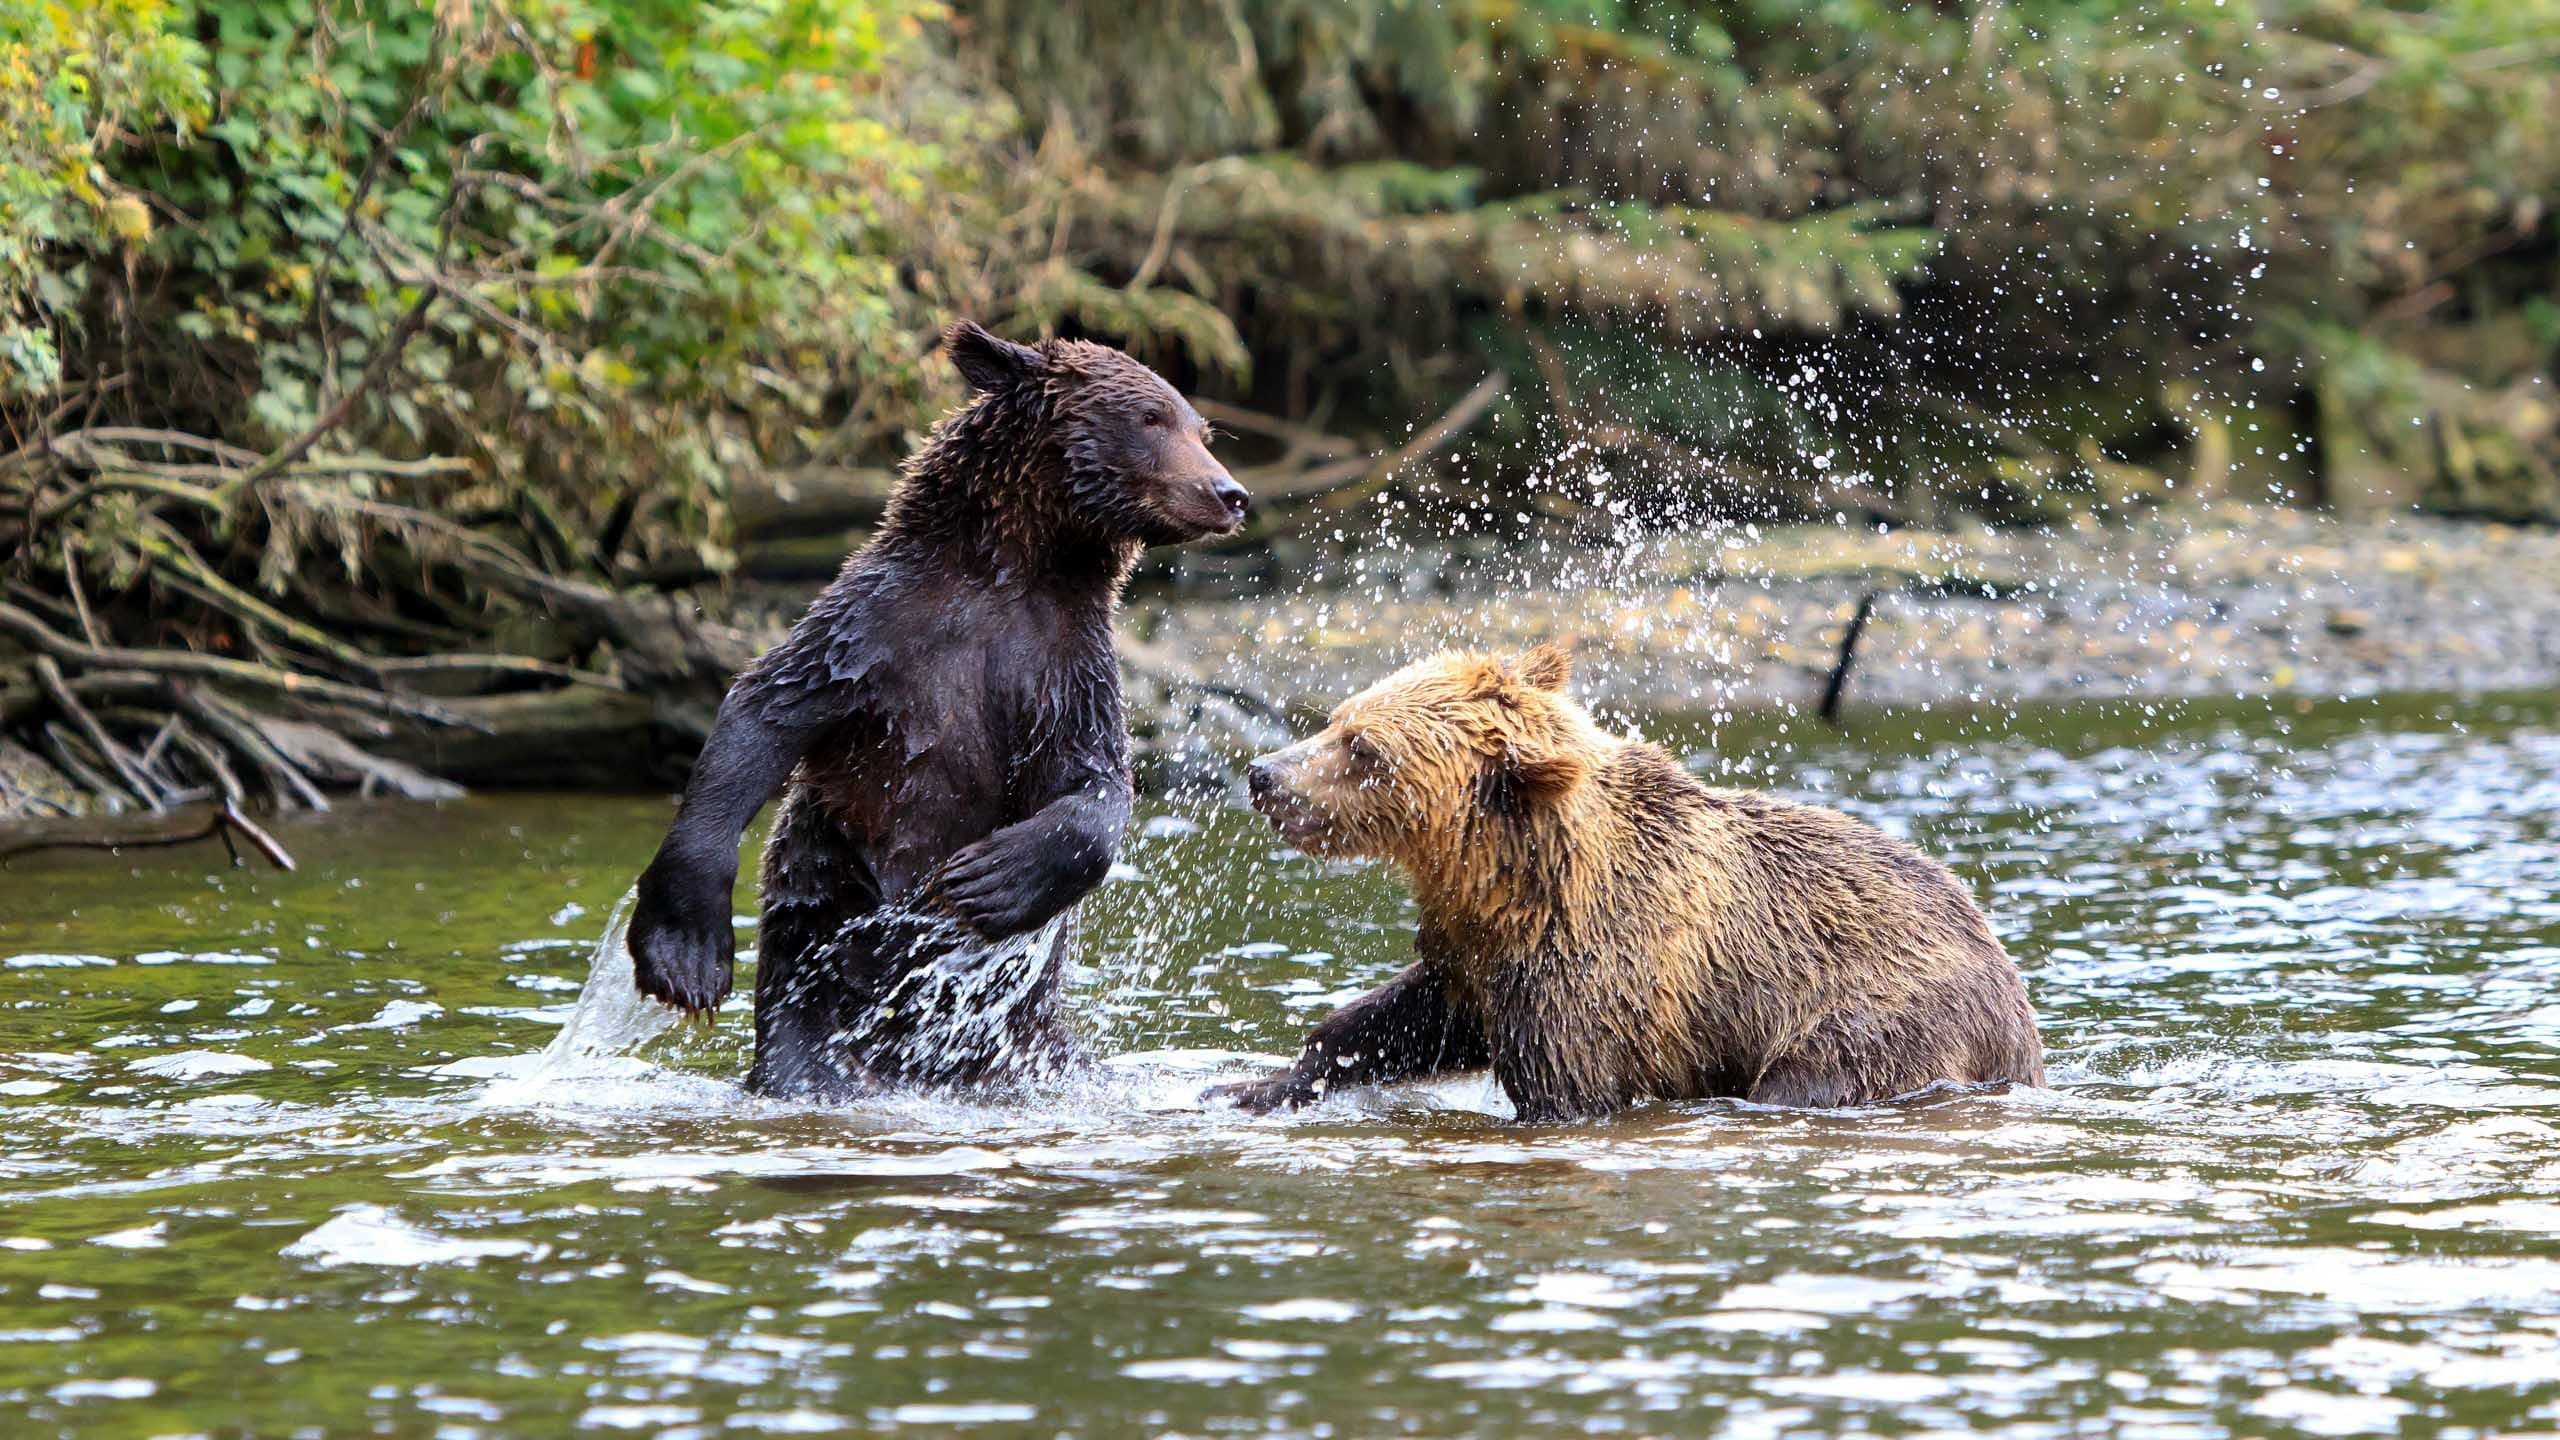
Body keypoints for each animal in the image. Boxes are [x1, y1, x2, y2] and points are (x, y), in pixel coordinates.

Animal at [627, 320, 1248, 1098]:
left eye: (1203, 429)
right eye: (1151, 418)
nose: (1230, 493)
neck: (1013, 571)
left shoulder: (1064, 663)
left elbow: (1096, 781)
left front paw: (989, 877)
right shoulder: (879, 631)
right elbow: (763, 712)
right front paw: (685, 949)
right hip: (823, 906)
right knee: (800, 1018)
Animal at [1207, 644, 2043, 1121]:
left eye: (1364, 749)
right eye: (1339, 718)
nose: (1263, 774)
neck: (1514, 879)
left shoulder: (1594, 974)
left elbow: (1566, 1091)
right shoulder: (1475, 953)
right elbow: (1400, 1021)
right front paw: (1253, 1085)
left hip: (1879, 1014)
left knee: (1812, 1077)